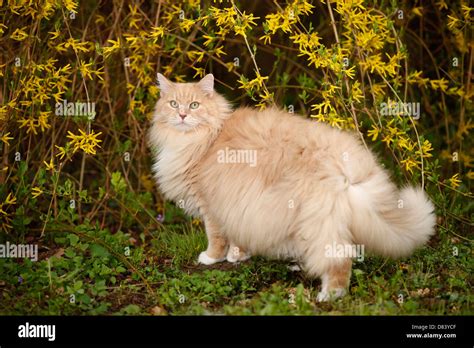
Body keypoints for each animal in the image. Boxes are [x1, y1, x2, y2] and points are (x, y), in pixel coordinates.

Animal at [149, 73, 436, 302]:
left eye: (194, 105)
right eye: (173, 104)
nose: (182, 115)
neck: (204, 140)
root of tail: (347, 163)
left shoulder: (212, 206)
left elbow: (216, 238)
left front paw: (211, 257)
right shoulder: (239, 206)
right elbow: (238, 238)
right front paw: (238, 255)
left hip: (318, 220)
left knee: (339, 261)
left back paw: (330, 295)